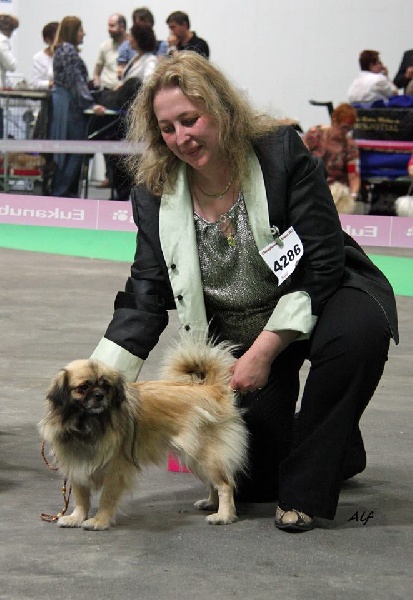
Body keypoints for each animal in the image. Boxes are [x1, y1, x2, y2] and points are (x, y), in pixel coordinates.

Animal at [39, 338, 248, 531]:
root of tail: (212, 388)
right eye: (83, 388)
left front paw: (99, 521)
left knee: (225, 484)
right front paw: (76, 517)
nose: (99, 395)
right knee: (216, 483)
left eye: (106, 386)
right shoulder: (76, 465)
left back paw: (223, 515)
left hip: (203, 455)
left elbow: (107, 498)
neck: (88, 424)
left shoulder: (115, 470)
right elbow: (81, 497)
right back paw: (211, 504)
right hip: (197, 458)